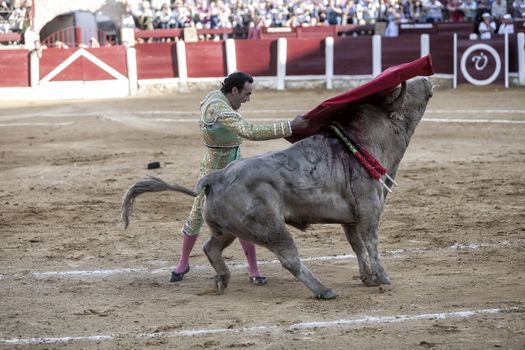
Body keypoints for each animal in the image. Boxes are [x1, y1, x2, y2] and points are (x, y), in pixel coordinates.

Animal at [123, 78, 434, 300]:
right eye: (406, 91)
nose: (428, 79)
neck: (361, 142)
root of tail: (216, 177)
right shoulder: (370, 207)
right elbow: (371, 242)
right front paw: (382, 278)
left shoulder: (351, 218)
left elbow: (356, 245)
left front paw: (368, 278)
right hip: (269, 227)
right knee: (289, 258)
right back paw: (323, 290)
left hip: (228, 229)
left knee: (211, 247)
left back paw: (222, 280)